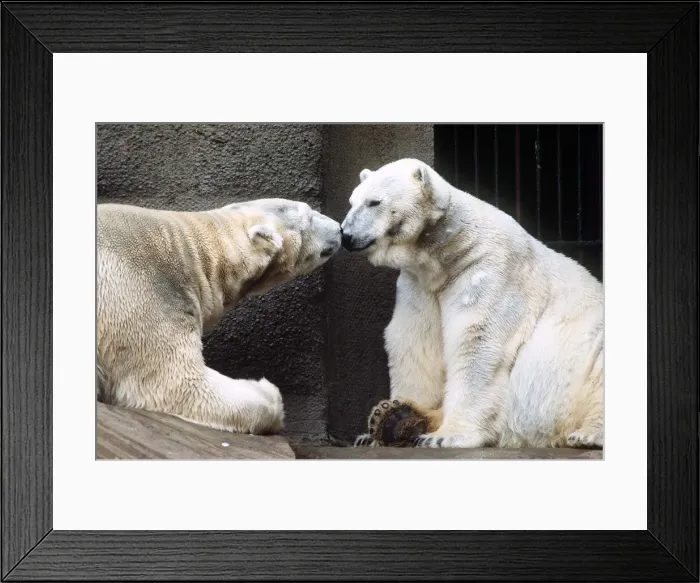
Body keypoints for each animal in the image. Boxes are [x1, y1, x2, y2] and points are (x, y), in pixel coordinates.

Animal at [341, 158, 603, 449]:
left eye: (374, 202)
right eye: (352, 201)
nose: (346, 235)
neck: (450, 250)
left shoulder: (489, 271)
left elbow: (477, 340)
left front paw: (445, 436)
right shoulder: (420, 284)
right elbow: (415, 342)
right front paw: (379, 424)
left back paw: (587, 434)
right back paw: (395, 419)